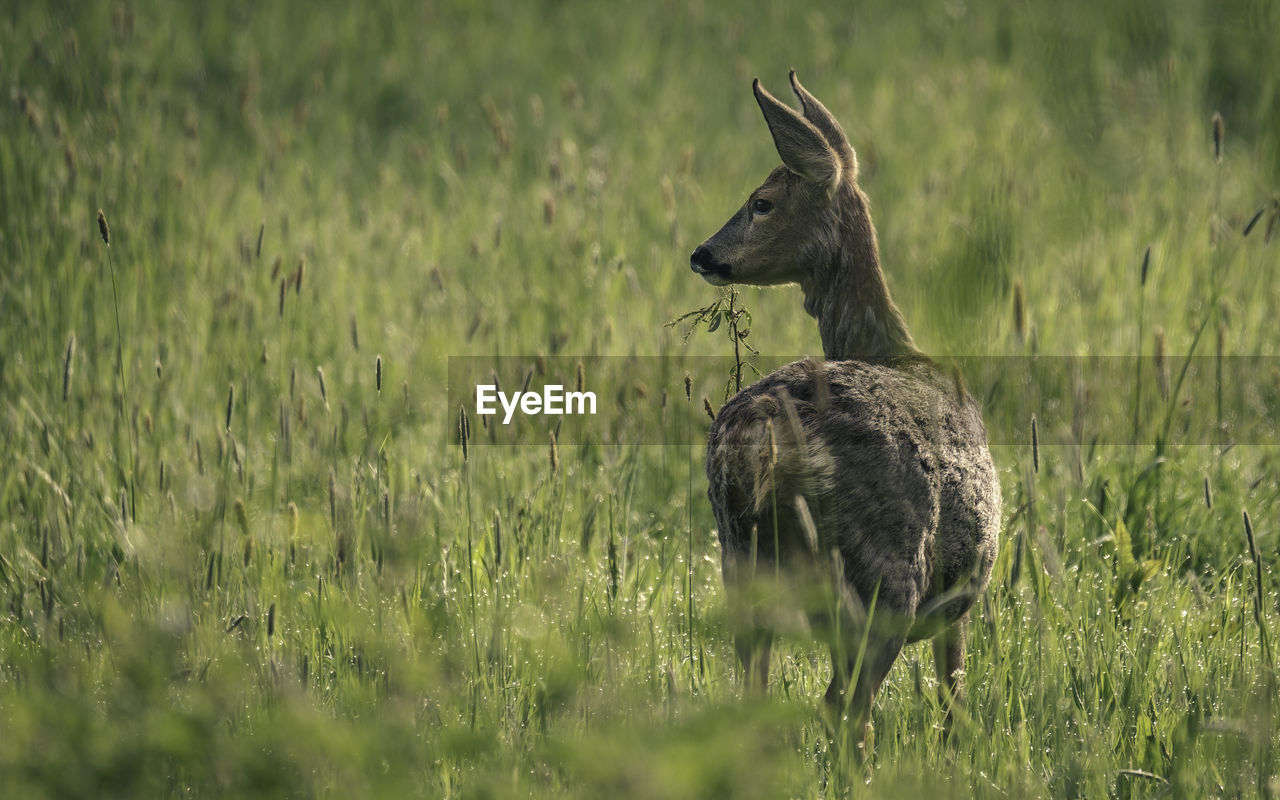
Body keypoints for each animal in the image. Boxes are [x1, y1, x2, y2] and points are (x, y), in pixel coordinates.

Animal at [691, 73, 998, 742]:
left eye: (761, 202)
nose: (701, 254)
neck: (896, 351)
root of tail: (762, 441)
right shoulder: (959, 599)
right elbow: (954, 696)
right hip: (885, 580)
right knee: (846, 708)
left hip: (739, 566)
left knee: (753, 700)